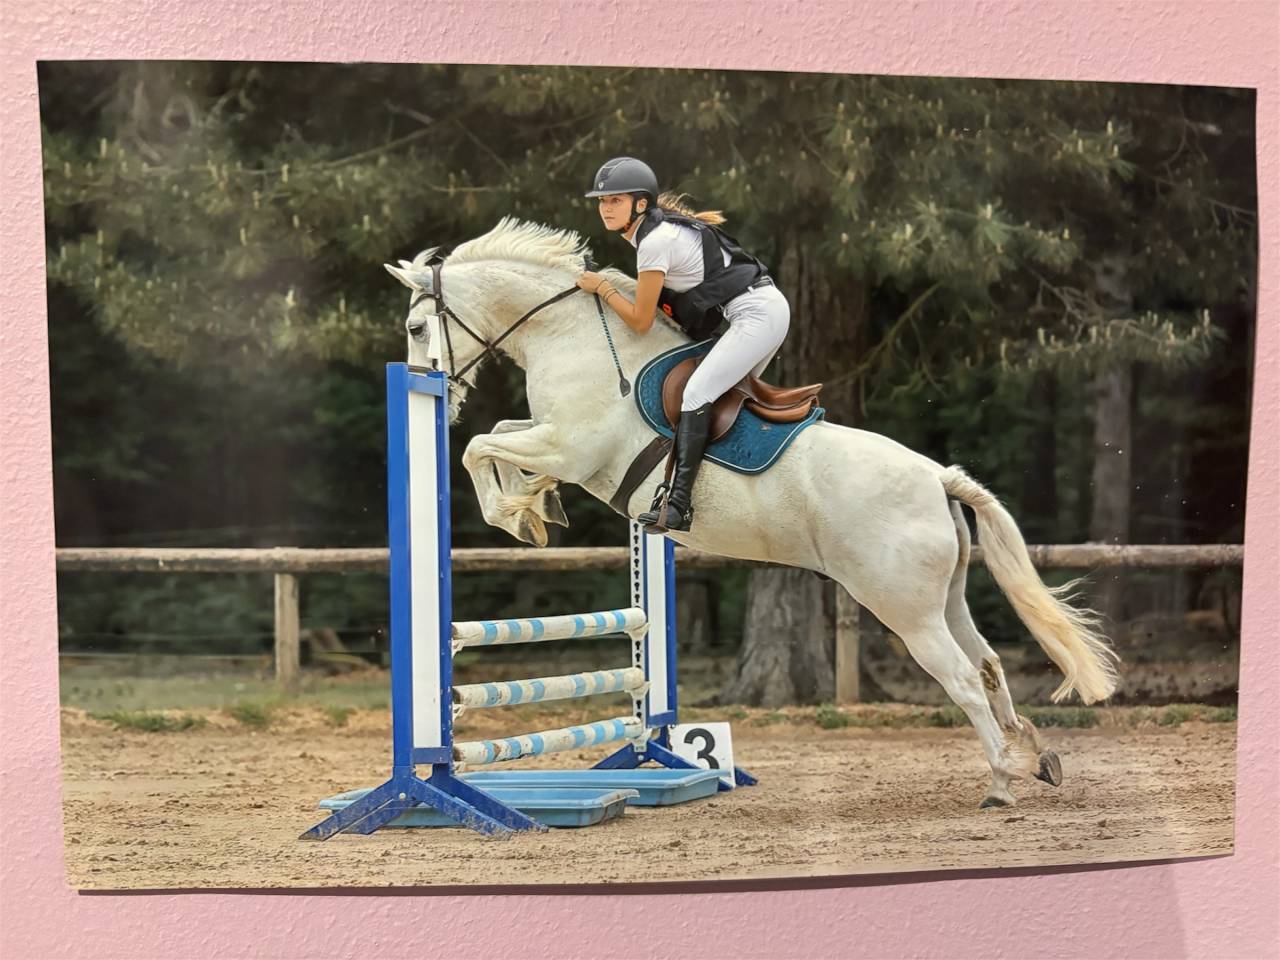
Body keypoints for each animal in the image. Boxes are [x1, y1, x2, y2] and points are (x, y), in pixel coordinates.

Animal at [383, 216, 1119, 809]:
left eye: (417, 328)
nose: (440, 393)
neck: (571, 336)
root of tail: (938, 477)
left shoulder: (572, 445)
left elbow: (479, 447)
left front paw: (516, 512)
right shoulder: (552, 439)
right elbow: (497, 438)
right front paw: (536, 507)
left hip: (903, 607)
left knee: (964, 680)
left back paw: (1000, 782)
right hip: (947, 597)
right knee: (989, 664)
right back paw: (1035, 756)